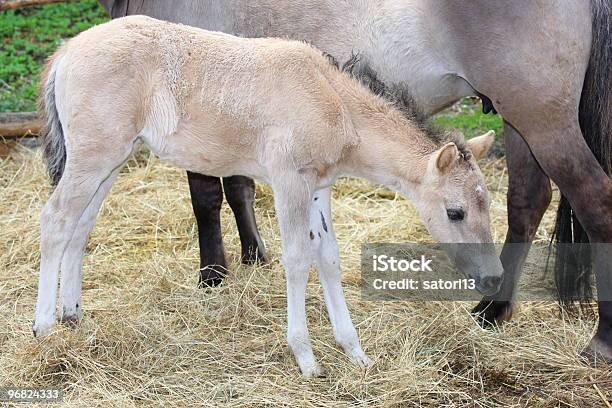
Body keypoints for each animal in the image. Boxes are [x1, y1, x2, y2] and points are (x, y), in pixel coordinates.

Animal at [33, 15, 502, 378]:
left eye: (487, 206)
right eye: (455, 212)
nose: (494, 278)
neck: (333, 100)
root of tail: (67, 51)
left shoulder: (319, 187)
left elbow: (328, 257)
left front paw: (355, 351)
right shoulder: (289, 181)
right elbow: (297, 258)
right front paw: (307, 358)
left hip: (111, 160)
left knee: (80, 225)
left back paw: (73, 316)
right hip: (94, 155)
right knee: (56, 219)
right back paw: (44, 327)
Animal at [99, 0, 612, 362]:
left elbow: (206, 195)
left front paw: (213, 276)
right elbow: (239, 185)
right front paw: (253, 255)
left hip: (542, 120)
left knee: (596, 203)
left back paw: (598, 342)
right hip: (519, 121)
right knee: (528, 201)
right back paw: (491, 312)